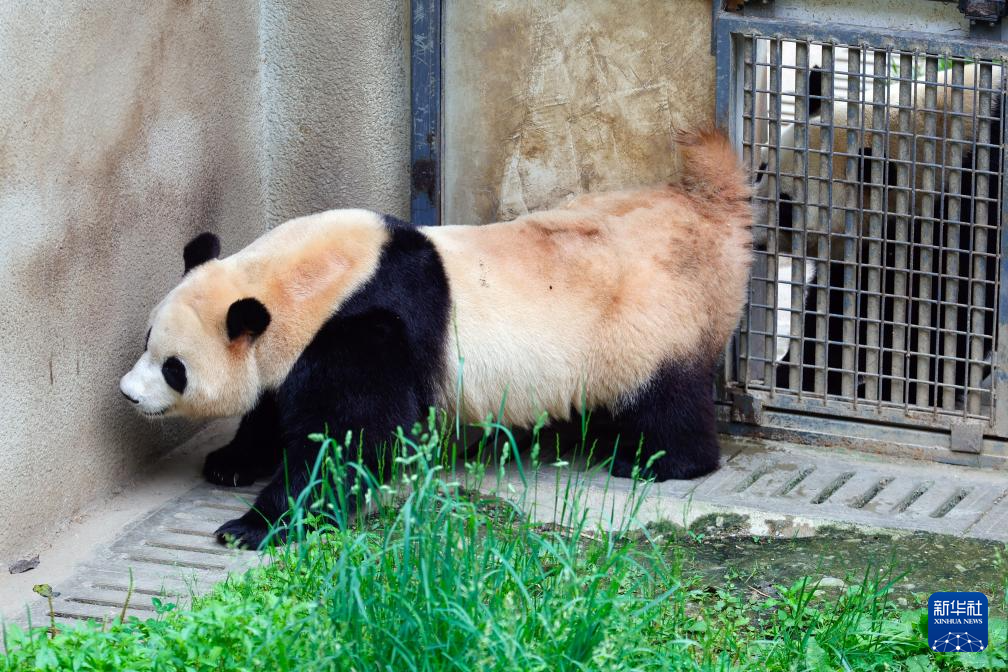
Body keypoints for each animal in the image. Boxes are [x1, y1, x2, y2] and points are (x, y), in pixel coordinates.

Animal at [117, 128, 753, 548]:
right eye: (146, 339)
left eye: (173, 367)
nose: (128, 393)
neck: (306, 281)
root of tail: (708, 215)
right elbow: (276, 408)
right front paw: (230, 463)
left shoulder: (365, 325)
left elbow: (349, 436)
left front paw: (253, 525)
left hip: (648, 321)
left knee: (665, 398)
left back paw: (655, 461)